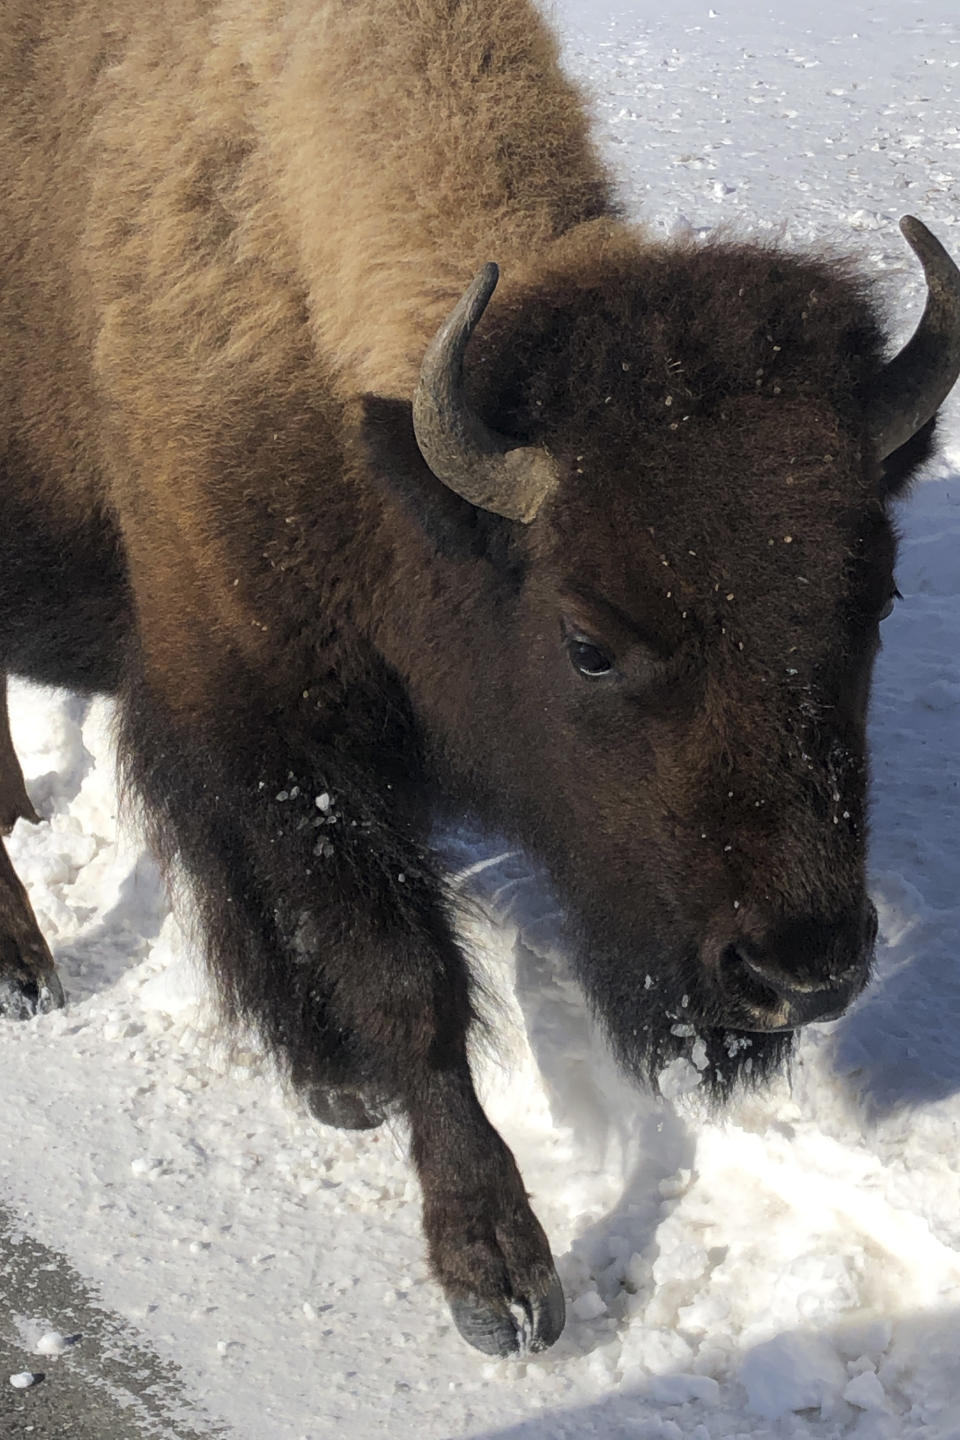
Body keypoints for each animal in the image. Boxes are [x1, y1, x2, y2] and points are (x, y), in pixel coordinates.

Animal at [1, 0, 960, 1359]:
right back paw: (22, 972)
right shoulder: (268, 727)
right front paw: (499, 1277)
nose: (802, 973)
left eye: (874, 602)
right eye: (588, 640)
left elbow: (254, 895)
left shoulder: (232, 730)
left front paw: (330, 1080)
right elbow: (409, 984)